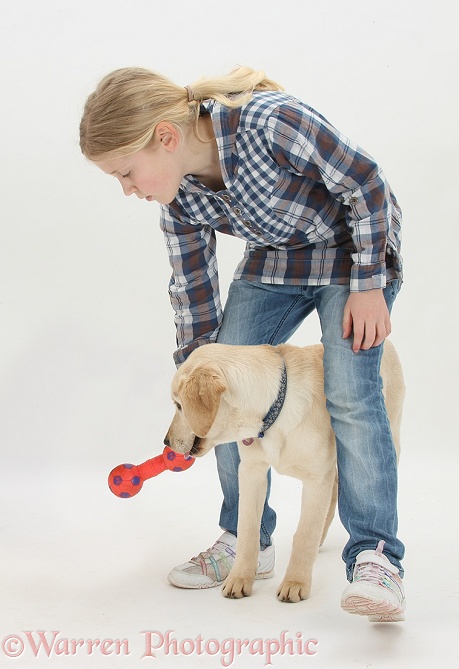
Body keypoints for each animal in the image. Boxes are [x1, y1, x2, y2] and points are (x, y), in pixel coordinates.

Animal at [164, 342, 402, 604]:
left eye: (179, 405)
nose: (166, 441)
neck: (273, 411)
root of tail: (389, 344)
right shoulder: (251, 472)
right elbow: (247, 530)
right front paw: (240, 578)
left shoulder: (317, 478)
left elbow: (305, 534)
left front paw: (295, 582)